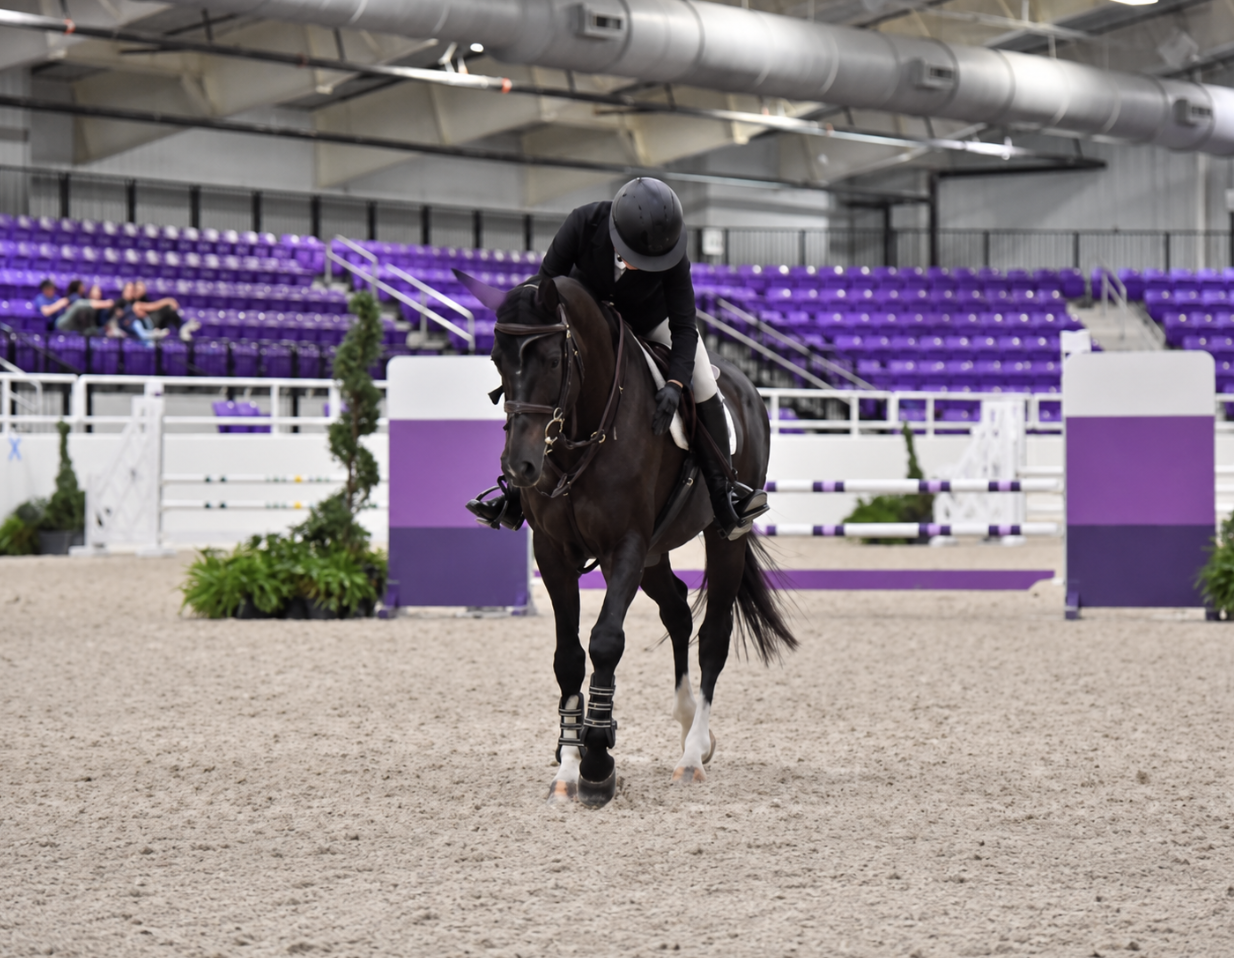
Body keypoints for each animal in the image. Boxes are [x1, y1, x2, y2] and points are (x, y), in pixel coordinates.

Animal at [471, 272, 797, 807]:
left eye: (554, 360)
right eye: (498, 359)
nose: (520, 468)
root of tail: (746, 385)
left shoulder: (624, 546)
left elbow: (605, 641)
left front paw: (598, 762)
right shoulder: (555, 553)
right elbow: (568, 657)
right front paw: (568, 766)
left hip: (720, 539)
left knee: (714, 637)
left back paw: (692, 755)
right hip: (654, 554)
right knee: (678, 610)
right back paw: (688, 727)